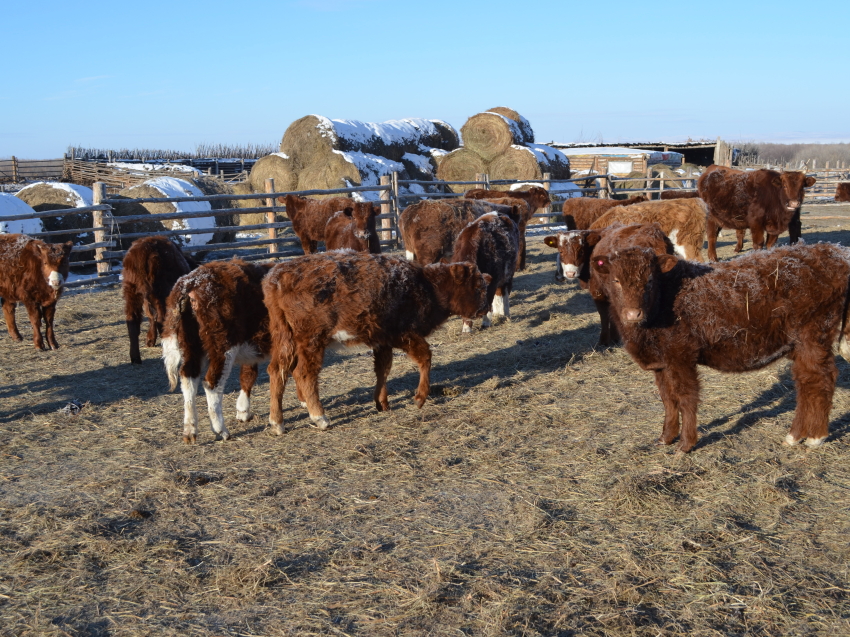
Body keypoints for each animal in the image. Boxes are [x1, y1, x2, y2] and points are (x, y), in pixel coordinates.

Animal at [121, 235, 196, 366]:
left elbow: (151, 316)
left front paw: (150, 340)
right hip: (160, 293)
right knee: (161, 319)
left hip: (132, 292)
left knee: (133, 321)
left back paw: (135, 357)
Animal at [161, 258, 272, 442]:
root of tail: (189, 282)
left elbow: (248, 375)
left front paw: (243, 412)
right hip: (223, 346)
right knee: (212, 383)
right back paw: (221, 430)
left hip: (191, 346)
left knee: (188, 379)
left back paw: (190, 431)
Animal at [264, 251, 490, 430]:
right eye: (478, 287)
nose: (484, 309)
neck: (426, 285)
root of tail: (277, 277)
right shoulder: (404, 335)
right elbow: (425, 357)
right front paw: (419, 398)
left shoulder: (383, 342)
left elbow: (383, 369)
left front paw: (382, 403)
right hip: (312, 341)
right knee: (304, 373)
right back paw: (320, 418)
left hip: (285, 340)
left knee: (277, 370)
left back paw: (277, 423)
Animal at [588, 240, 850, 452]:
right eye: (616, 280)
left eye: (649, 281)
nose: (633, 313)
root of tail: (833, 251)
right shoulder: (661, 364)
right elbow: (668, 399)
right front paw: (665, 437)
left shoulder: (681, 357)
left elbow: (686, 397)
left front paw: (685, 444)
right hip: (801, 345)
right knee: (805, 382)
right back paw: (795, 436)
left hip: (814, 336)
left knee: (820, 380)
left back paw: (815, 437)